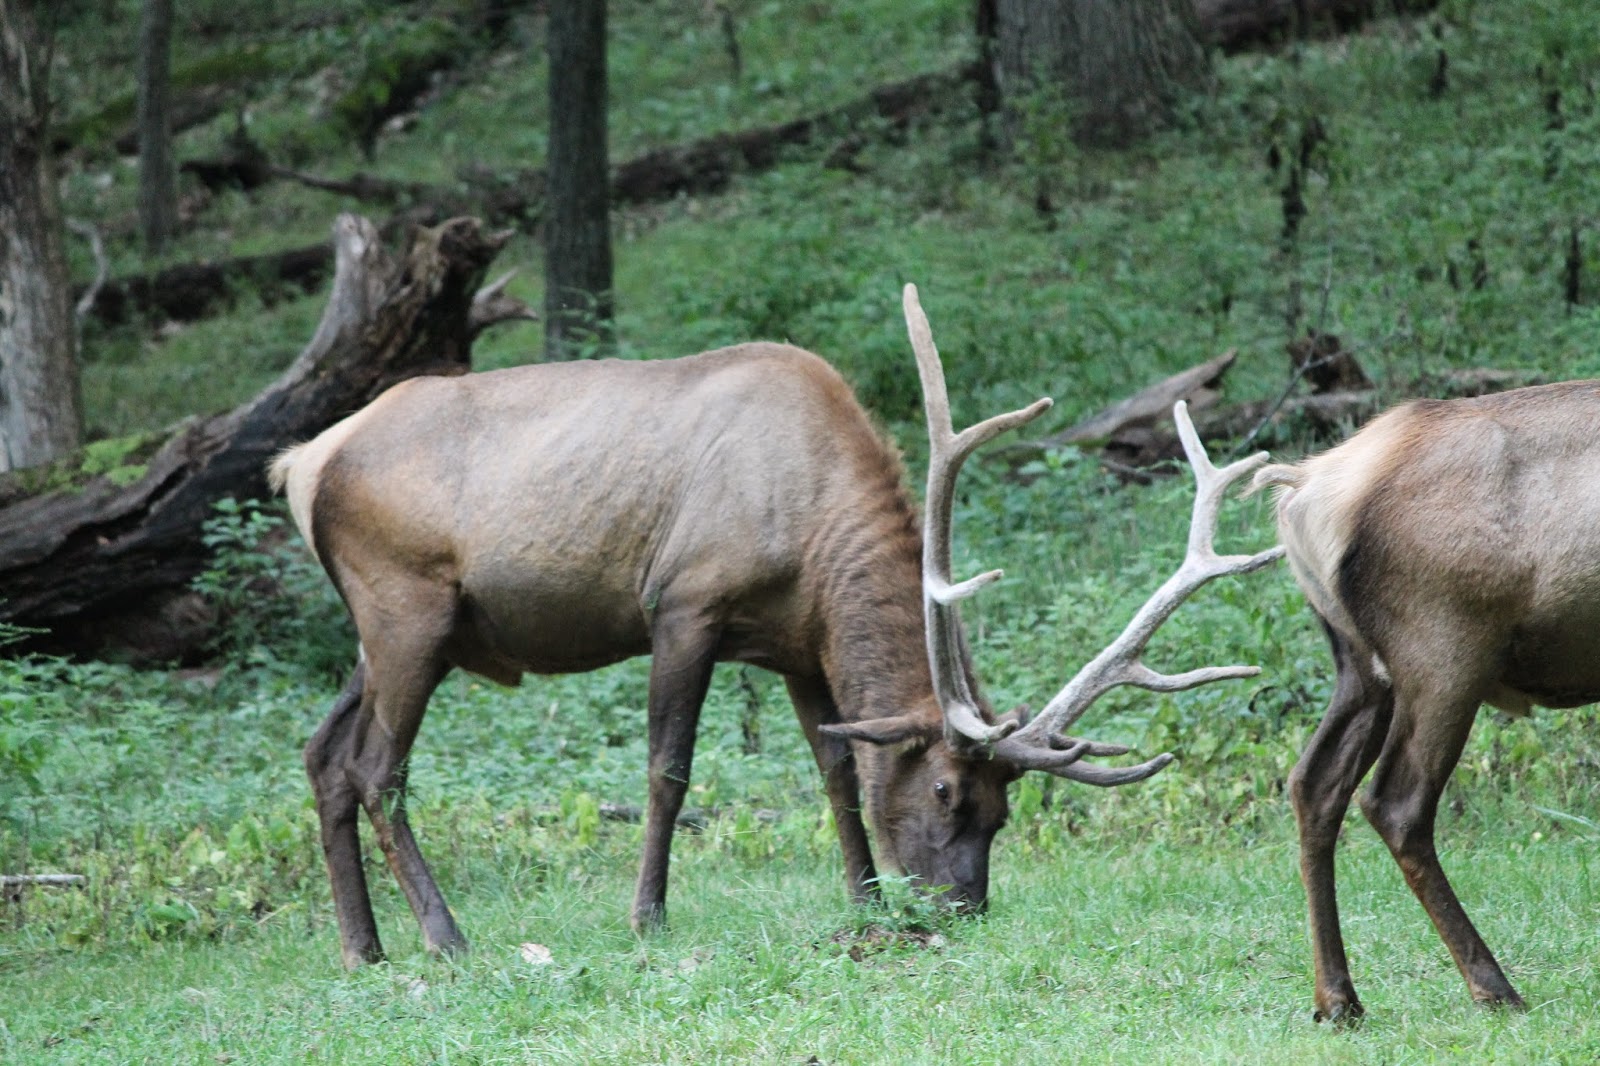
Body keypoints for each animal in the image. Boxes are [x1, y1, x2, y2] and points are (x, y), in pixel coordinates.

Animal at [270, 283, 1280, 969]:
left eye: (1005, 810)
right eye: (950, 792)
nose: (962, 909)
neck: (814, 539)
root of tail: (303, 463)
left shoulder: (798, 643)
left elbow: (837, 772)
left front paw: (864, 902)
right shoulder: (684, 603)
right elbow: (669, 770)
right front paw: (648, 917)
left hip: (394, 630)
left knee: (323, 754)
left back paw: (364, 947)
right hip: (406, 605)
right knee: (377, 767)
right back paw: (445, 937)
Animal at [1254, 379, 1600, 1022]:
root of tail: (1304, 492)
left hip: (1363, 669)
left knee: (1313, 782)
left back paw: (1337, 999)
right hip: (1446, 649)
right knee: (1395, 803)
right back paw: (1493, 986)